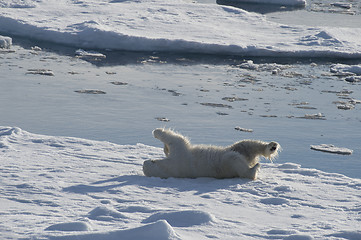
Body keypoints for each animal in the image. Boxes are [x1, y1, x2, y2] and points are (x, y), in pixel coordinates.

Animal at [142, 128, 280, 179]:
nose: (144, 162)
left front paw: (164, 148)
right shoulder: (179, 158)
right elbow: (176, 140)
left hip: (236, 149)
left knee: (246, 144)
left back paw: (272, 146)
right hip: (226, 164)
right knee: (236, 159)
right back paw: (254, 168)